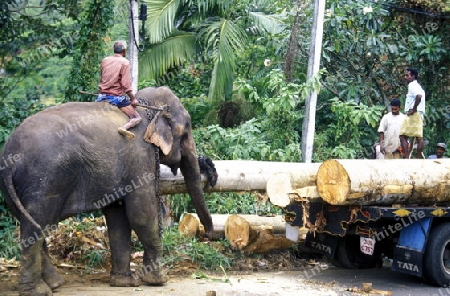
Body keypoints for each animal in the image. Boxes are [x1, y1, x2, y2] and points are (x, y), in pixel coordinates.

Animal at [0, 86, 216, 296]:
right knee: (34, 227)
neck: (146, 107)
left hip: (16, 188)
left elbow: (117, 217)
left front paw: (124, 283)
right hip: (45, 181)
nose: (209, 235)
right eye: (186, 132)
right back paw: (38, 291)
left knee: (31, 223)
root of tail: (9, 156)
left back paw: (54, 284)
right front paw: (159, 280)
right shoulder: (140, 158)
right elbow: (141, 215)